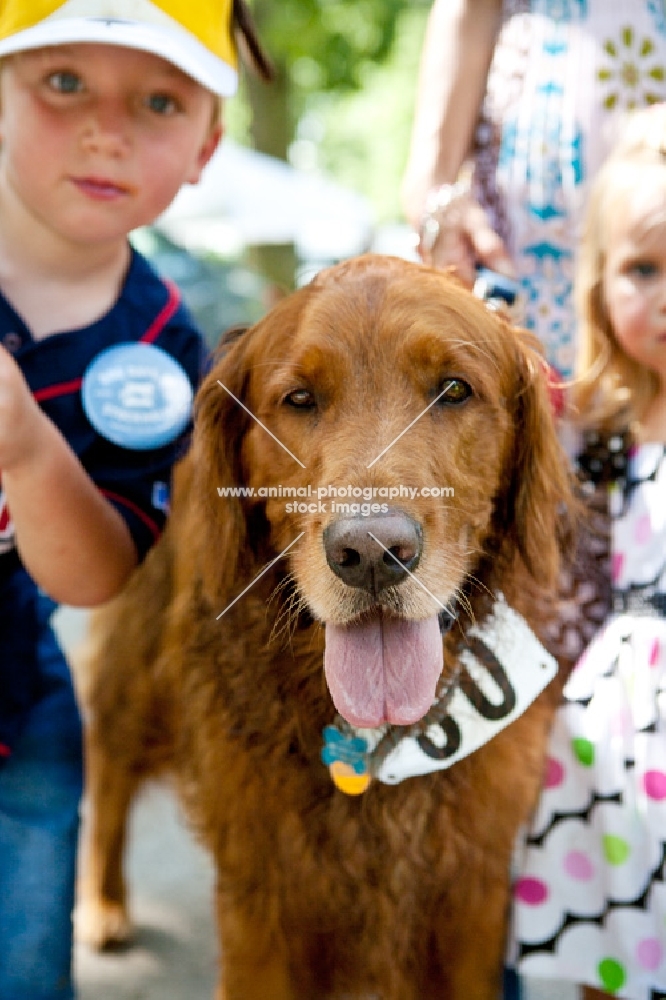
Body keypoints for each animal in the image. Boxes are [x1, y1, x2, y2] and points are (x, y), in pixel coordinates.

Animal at [72, 256, 572, 1000]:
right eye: (300, 399)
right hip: (136, 676)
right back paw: (101, 903)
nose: (372, 551)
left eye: (454, 389)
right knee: (107, 765)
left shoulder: (469, 899)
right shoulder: (261, 904)